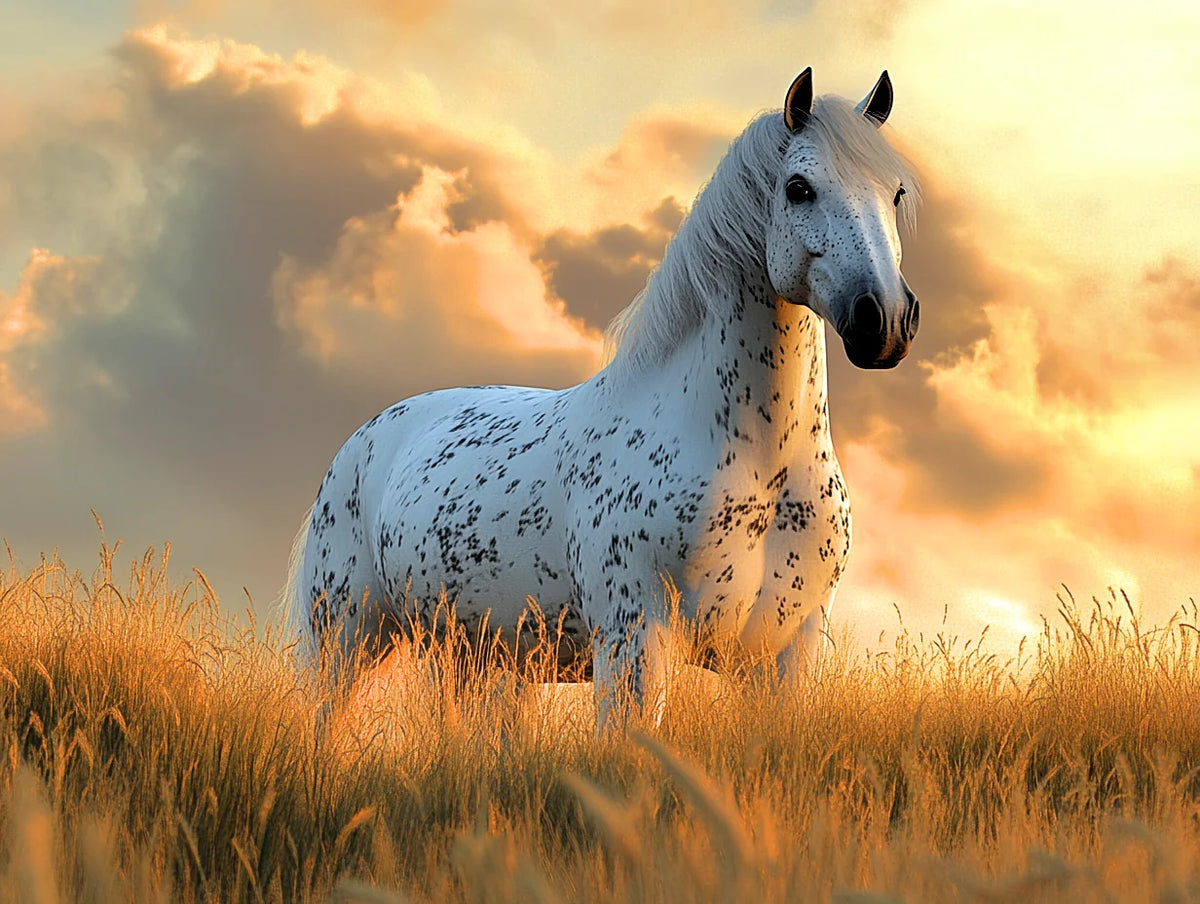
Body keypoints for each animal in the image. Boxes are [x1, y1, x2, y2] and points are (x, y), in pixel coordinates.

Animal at [283, 67, 922, 729]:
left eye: (896, 193)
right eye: (799, 189)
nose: (884, 321)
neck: (761, 463)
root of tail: (369, 436)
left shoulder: (786, 655)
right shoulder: (634, 642)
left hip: (481, 659)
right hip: (347, 638)